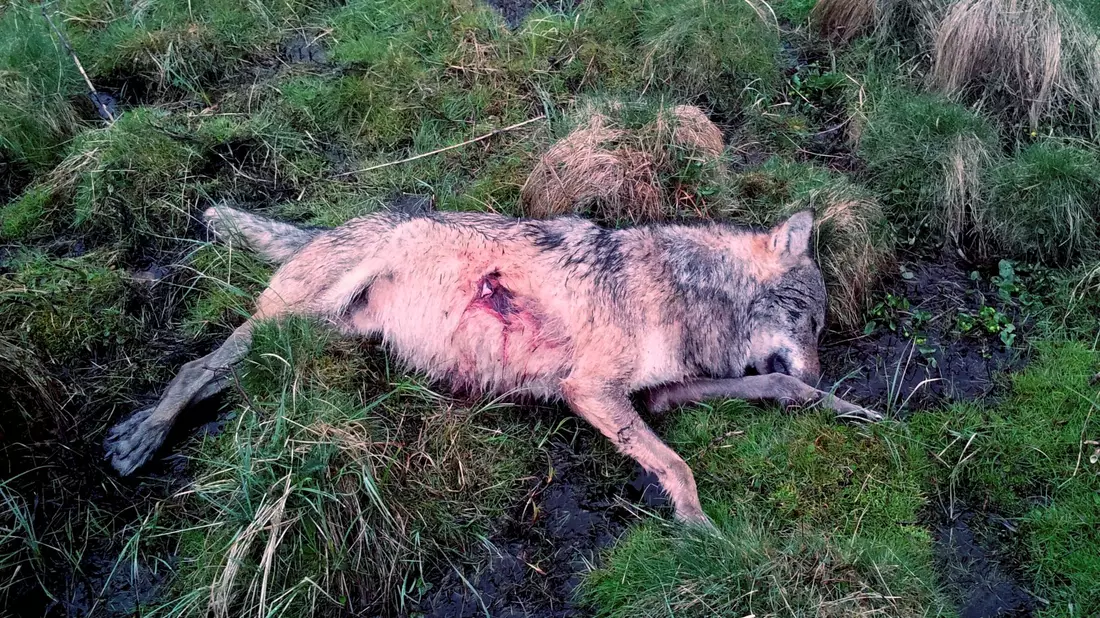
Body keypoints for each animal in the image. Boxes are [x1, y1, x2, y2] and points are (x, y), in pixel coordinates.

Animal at [104, 205, 881, 525]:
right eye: (809, 322)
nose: (822, 370)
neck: (690, 292)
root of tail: (337, 223)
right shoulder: (588, 391)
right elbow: (680, 466)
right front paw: (699, 529)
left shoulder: (658, 395)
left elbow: (772, 383)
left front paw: (851, 408)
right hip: (288, 322)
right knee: (197, 368)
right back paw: (141, 435)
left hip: (316, 337)